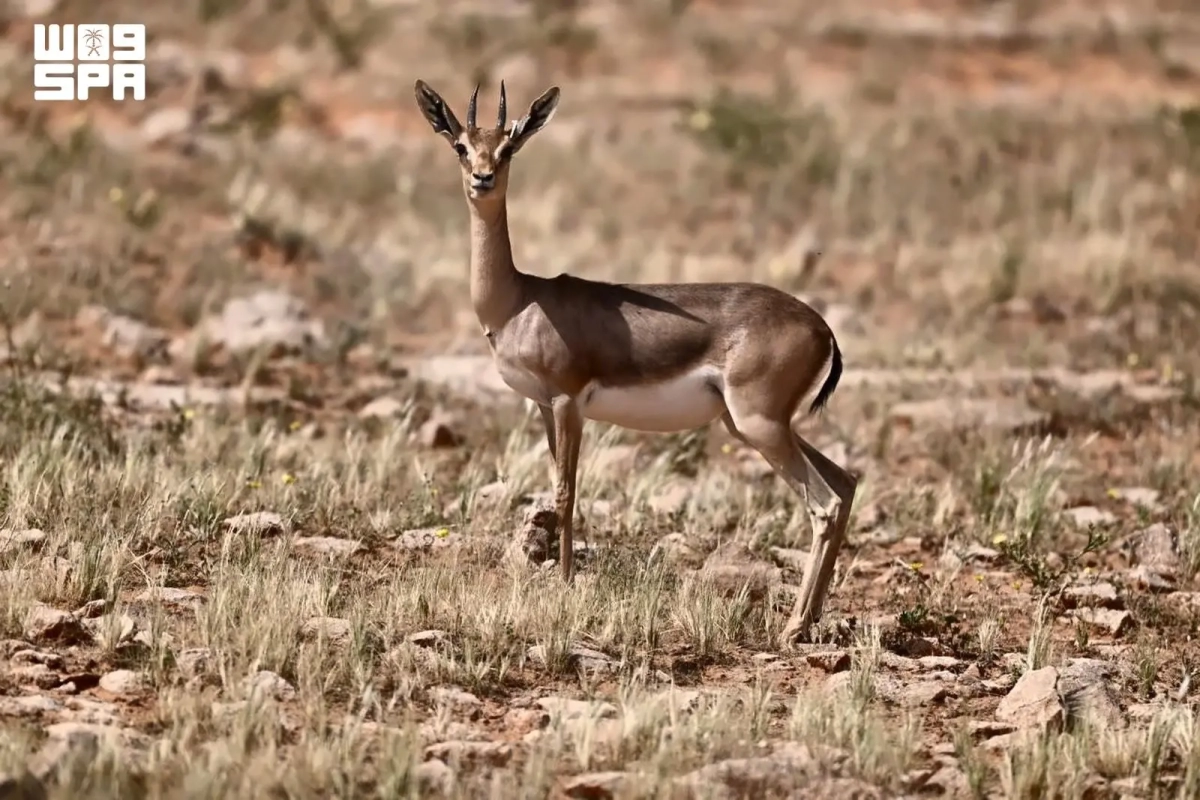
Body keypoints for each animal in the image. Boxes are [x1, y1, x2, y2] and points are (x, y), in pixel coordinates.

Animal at [413, 79, 857, 646]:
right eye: (461, 146)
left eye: (509, 147)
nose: (483, 179)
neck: (518, 301)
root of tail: (822, 327)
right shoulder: (544, 407)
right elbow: (555, 490)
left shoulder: (568, 401)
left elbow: (566, 492)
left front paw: (565, 584)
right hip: (752, 425)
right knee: (845, 483)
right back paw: (813, 617)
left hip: (761, 426)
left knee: (823, 504)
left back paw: (793, 627)